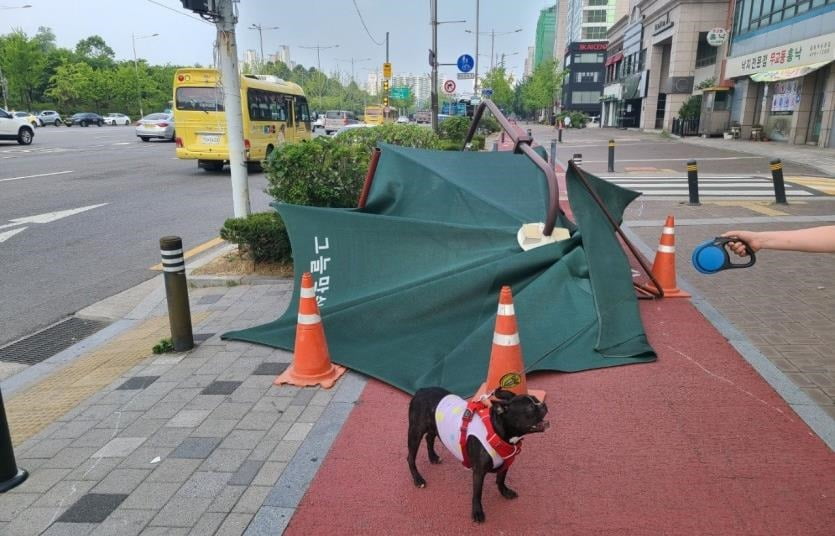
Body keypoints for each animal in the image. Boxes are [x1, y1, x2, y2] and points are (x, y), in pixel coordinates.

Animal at [406, 388, 548, 520]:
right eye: (530, 408)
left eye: (537, 399)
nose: (543, 404)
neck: (496, 431)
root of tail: (421, 390)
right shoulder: (479, 472)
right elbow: (477, 493)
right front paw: (477, 512)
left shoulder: (506, 464)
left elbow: (501, 479)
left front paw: (504, 492)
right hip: (415, 432)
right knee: (411, 457)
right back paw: (418, 479)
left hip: (434, 426)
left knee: (429, 438)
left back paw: (433, 457)